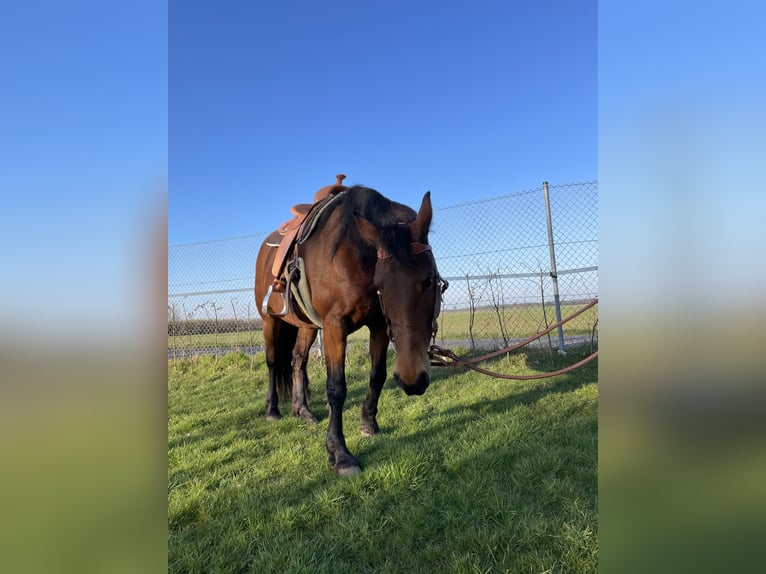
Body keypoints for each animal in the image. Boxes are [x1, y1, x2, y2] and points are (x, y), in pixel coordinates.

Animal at [256, 180, 450, 476]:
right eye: (381, 284)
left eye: (429, 280)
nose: (412, 379)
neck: (354, 254)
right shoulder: (334, 326)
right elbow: (336, 388)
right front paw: (340, 453)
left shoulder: (379, 325)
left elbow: (377, 375)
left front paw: (368, 424)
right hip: (271, 322)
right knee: (273, 361)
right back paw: (272, 411)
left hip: (307, 326)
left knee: (297, 360)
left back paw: (302, 410)